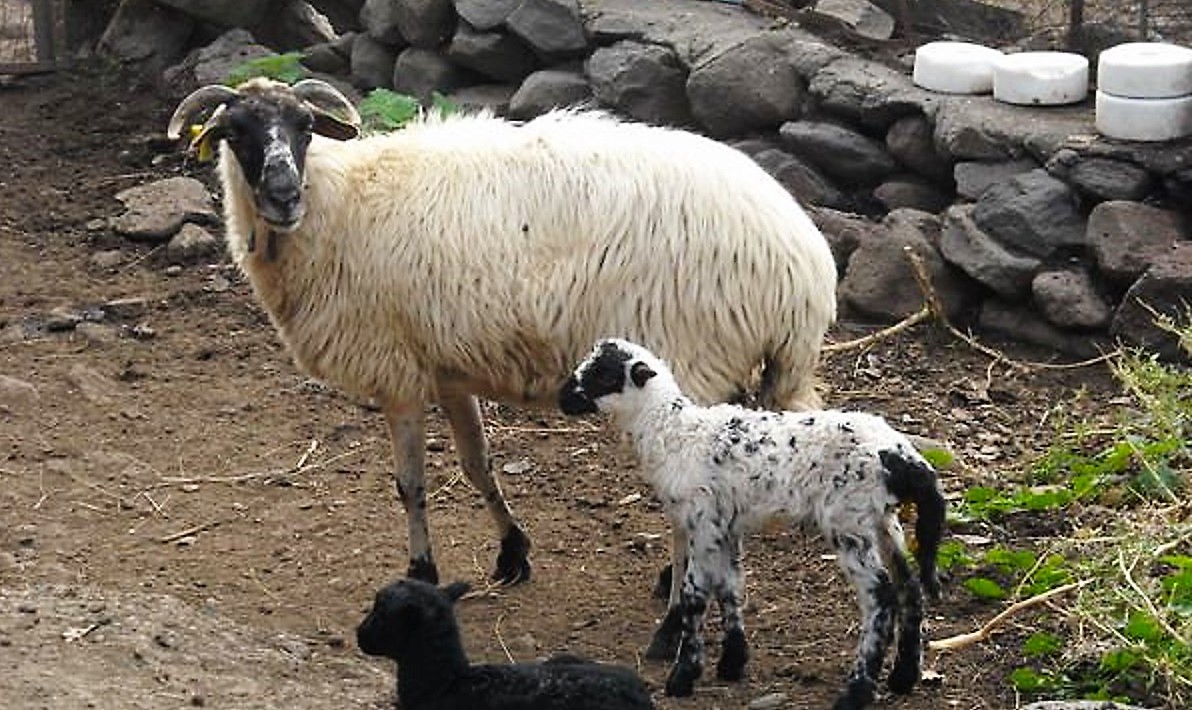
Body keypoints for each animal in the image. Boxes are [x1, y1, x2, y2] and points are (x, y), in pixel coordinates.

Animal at [168, 77, 839, 590]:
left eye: (305, 125)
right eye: (235, 132)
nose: (283, 195)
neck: (336, 203)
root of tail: (803, 265)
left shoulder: (396, 372)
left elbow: (410, 484)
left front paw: (423, 571)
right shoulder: (445, 367)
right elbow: (476, 464)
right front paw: (513, 551)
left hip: (690, 360)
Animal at [560, 338, 948, 710]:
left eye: (602, 375)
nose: (562, 397)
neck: (674, 432)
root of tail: (902, 456)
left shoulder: (702, 523)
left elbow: (694, 595)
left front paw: (683, 676)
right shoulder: (725, 527)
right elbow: (730, 587)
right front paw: (732, 663)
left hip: (849, 521)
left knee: (881, 598)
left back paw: (856, 692)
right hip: (883, 521)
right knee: (910, 588)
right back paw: (903, 677)